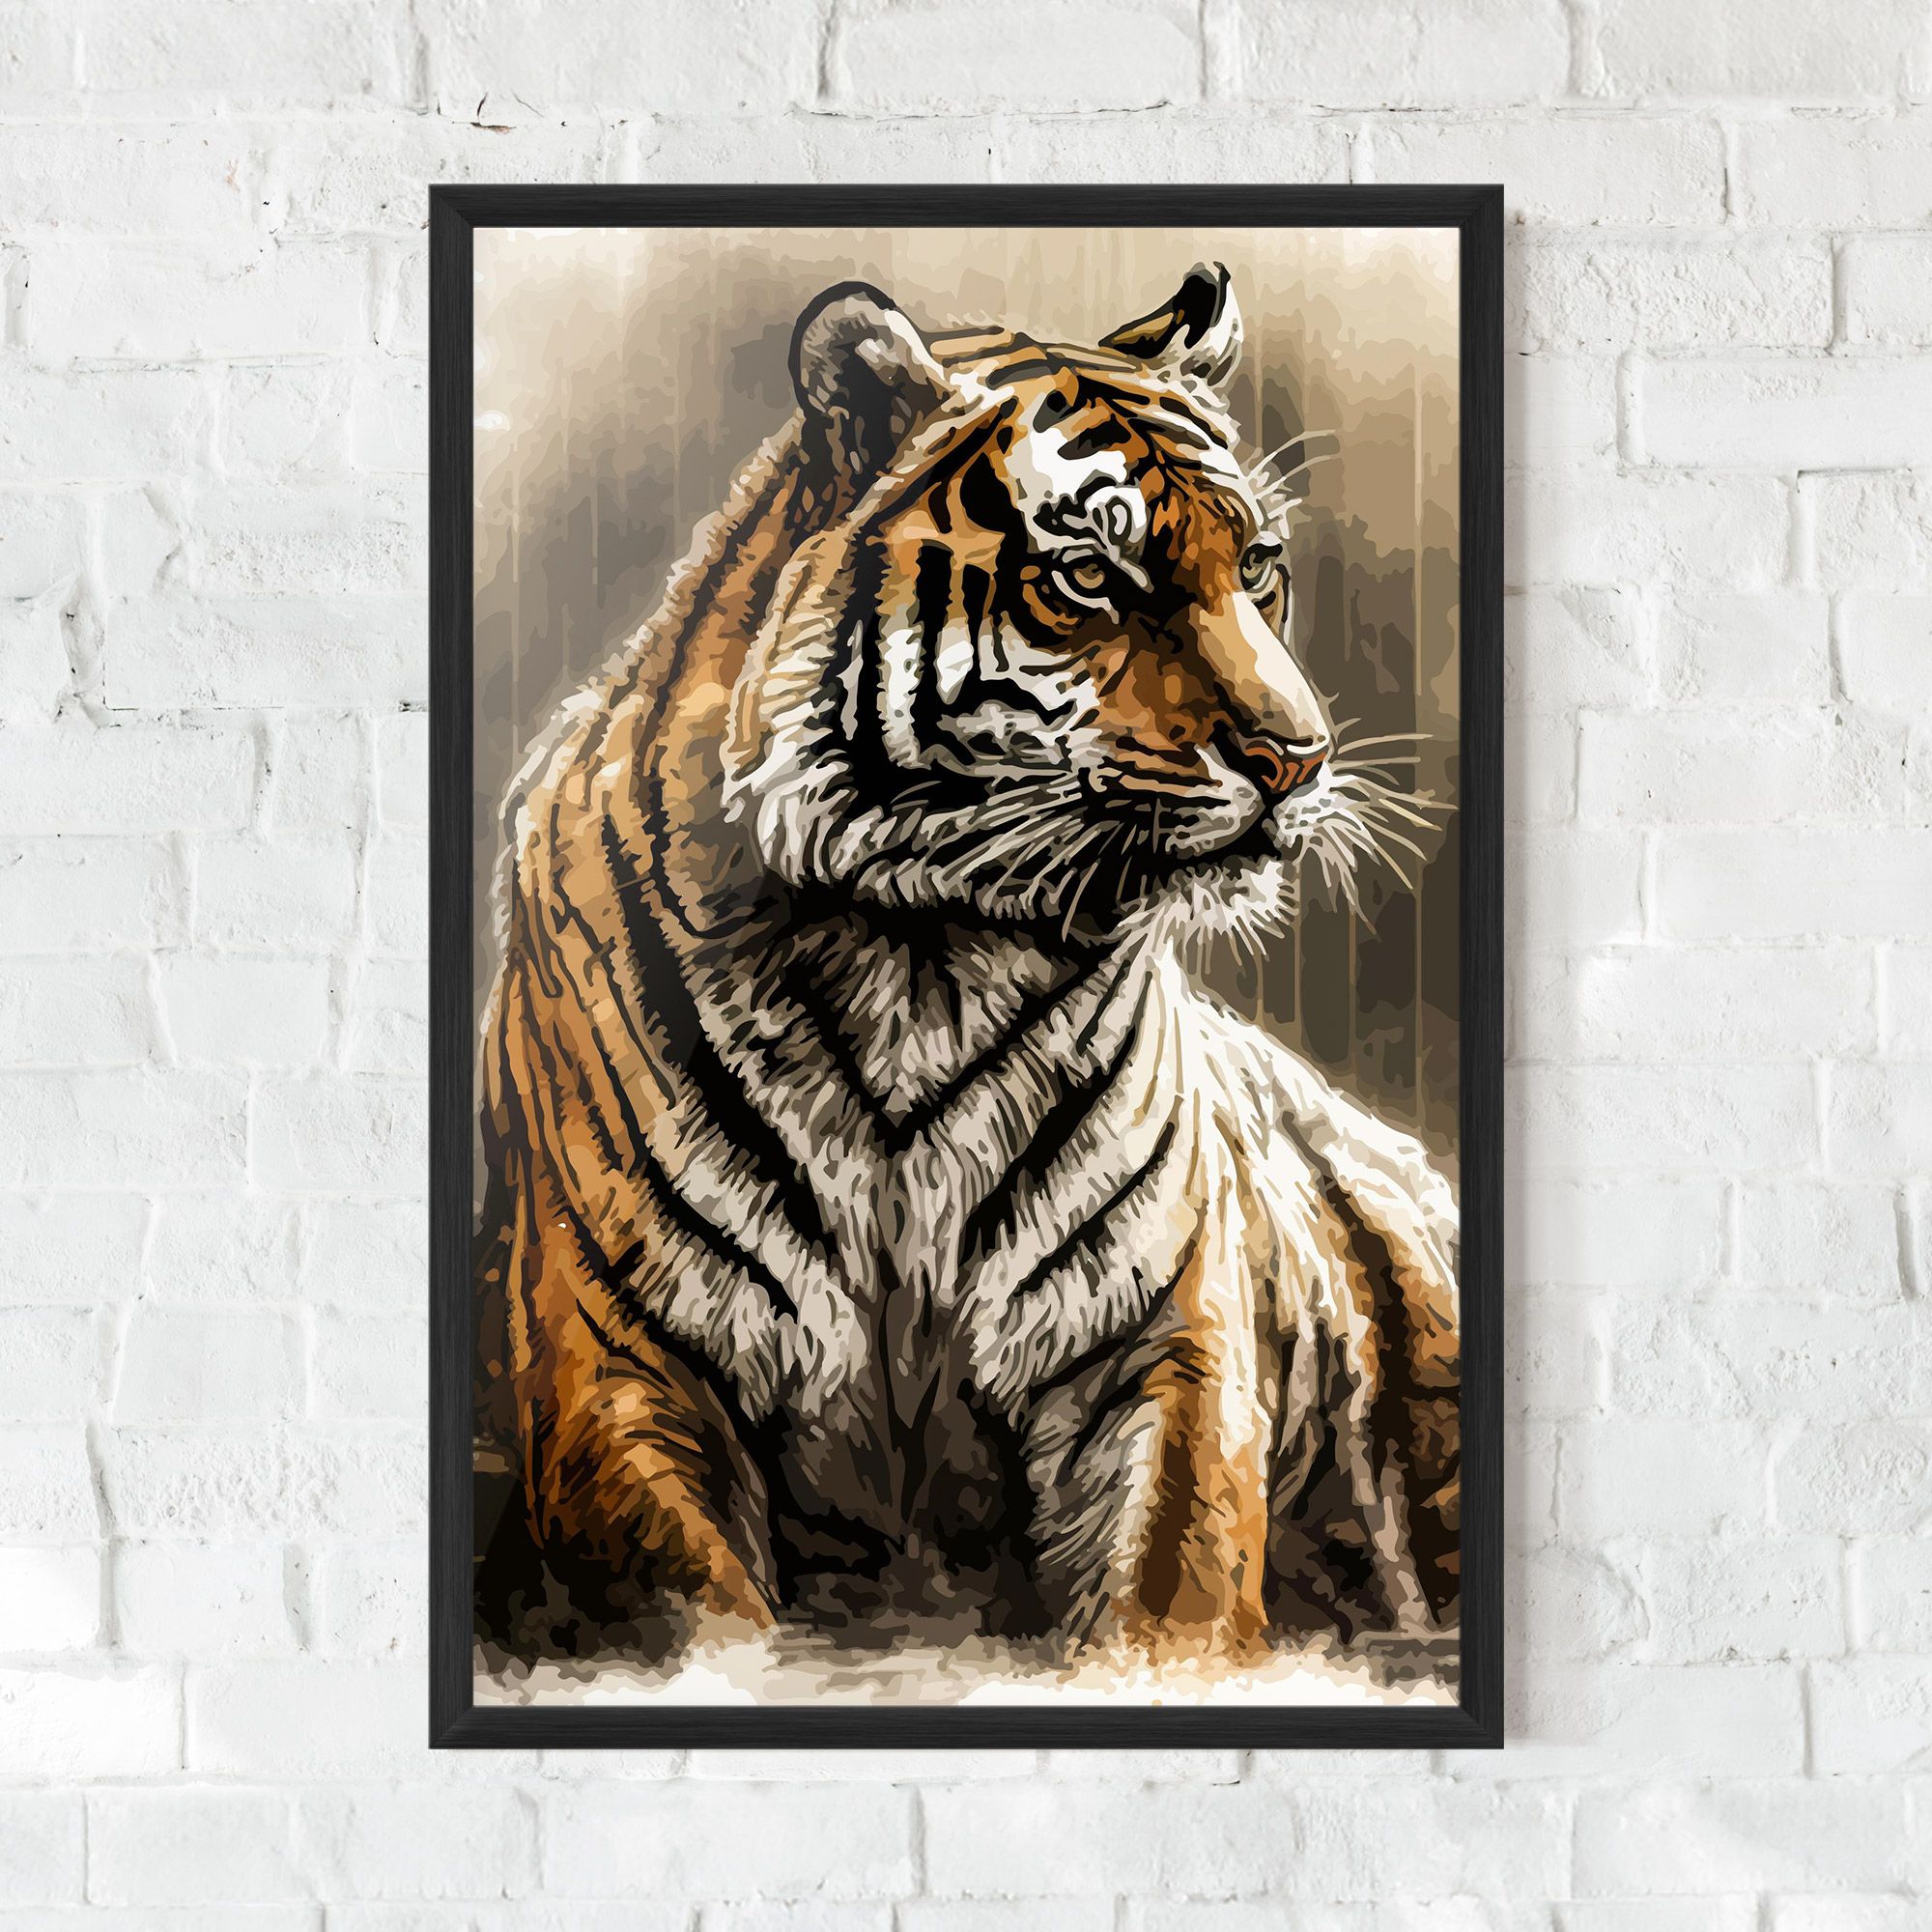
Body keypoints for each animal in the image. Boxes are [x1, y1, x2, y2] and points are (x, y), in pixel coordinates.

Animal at [474, 263, 1459, 1675]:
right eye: (1091, 577)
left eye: (1259, 567)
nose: (1297, 757)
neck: (919, 953)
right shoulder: (618, 1364)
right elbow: (705, 1620)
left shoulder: (1164, 1349)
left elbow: (1163, 1600)